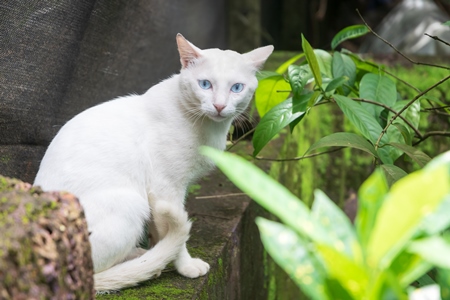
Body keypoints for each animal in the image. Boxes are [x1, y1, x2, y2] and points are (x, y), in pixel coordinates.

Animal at [33, 34, 272, 292]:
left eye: (237, 88)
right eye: (205, 84)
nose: (219, 106)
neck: (206, 128)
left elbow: (161, 232)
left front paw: (161, 252)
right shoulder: (165, 188)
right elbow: (174, 232)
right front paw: (184, 265)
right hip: (131, 204)